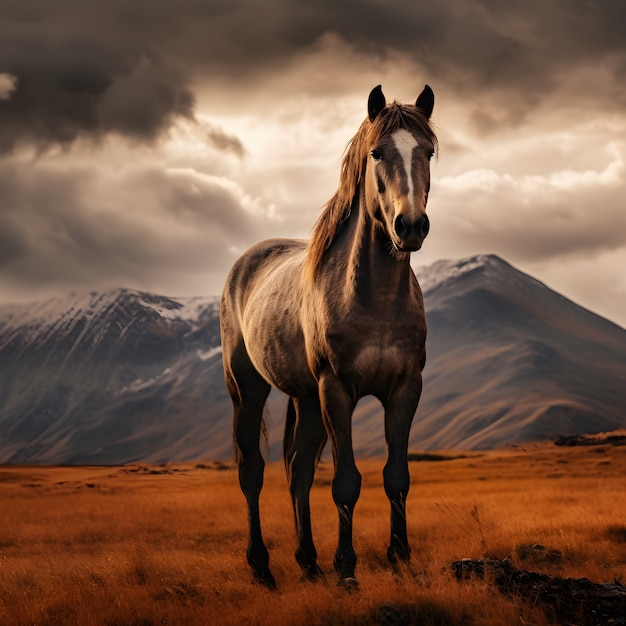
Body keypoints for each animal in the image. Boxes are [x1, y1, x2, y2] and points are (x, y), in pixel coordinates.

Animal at [222, 83, 436, 584]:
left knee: (297, 469)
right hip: (248, 389)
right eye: (377, 152)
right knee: (252, 471)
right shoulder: (336, 389)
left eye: (429, 152)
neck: (375, 300)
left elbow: (397, 476)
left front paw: (400, 559)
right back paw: (262, 566)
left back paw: (308, 561)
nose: (410, 226)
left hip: (305, 398)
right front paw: (347, 568)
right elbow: (346, 482)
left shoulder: (404, 388)